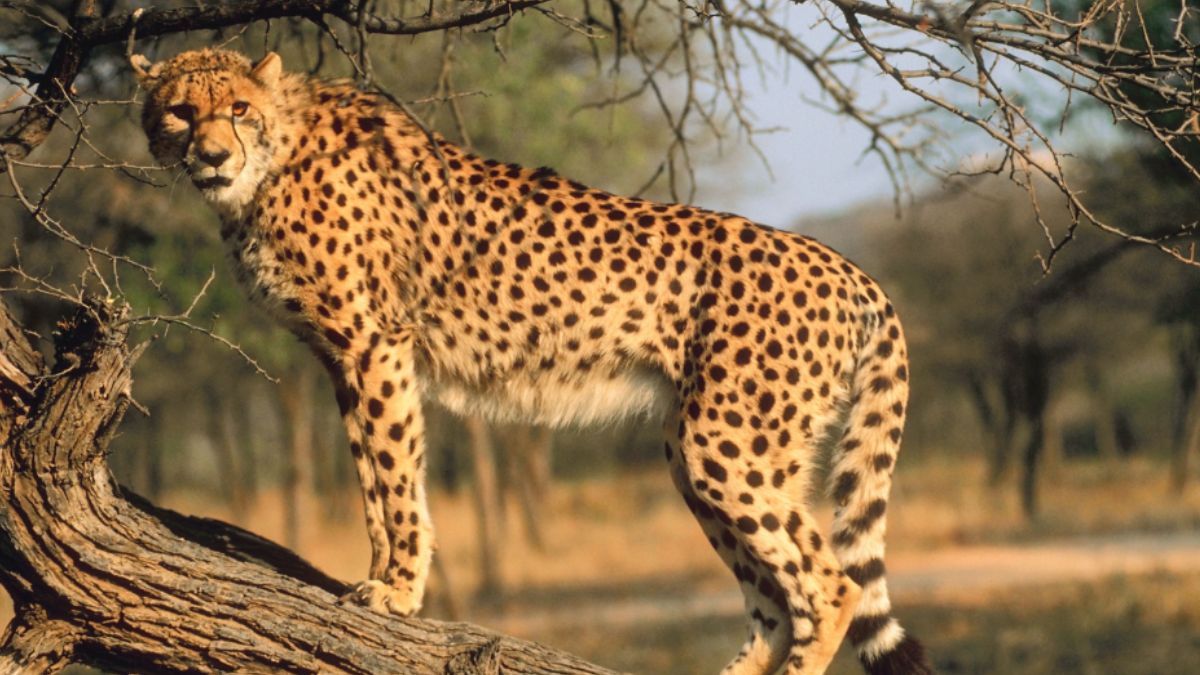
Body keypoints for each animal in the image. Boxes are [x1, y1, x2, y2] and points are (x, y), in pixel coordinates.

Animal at [132, 47, 933, 675]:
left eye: (238, 108)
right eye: (179, 112)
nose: (211, 155)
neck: (271, 161)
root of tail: (850, 268)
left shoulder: (376, 344)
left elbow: (395, 475)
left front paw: (397, 590)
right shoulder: (340, 360)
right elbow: (371, 478)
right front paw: (381, 576)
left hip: (726, 445)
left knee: (830, 588)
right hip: (704, 451)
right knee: (773, 604)